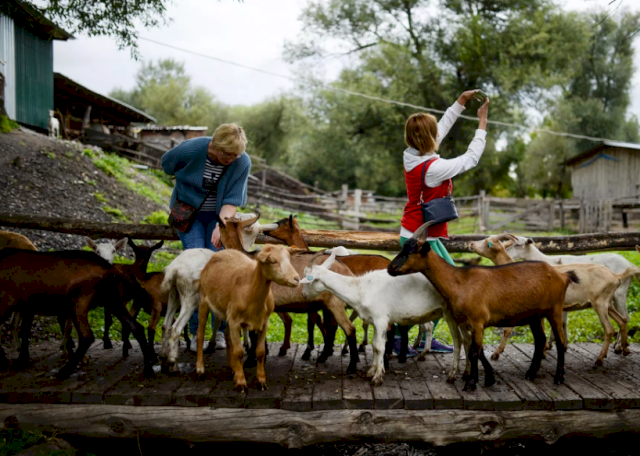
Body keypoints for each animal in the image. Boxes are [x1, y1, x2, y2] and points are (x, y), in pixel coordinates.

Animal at [196, 244, 298, 390]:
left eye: (289, 259)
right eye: (272, 261)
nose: (296, 278)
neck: (250, 292)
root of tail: (220, 252)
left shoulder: (263, 322)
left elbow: (260, 352)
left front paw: (261, 381)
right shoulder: (235, 321)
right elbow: (239, 352)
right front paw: (241, 383)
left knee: (227, 335)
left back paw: (232, 368)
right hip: (204, 301)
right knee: (200, 334)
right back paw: (200, 370)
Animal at [300, 249, 464, 384]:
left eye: (308, 279)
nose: (304, 295)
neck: (360, 289)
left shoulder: (381, 319)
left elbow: (379, 347)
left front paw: (377, 376)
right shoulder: (374, 320)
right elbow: (374, 345)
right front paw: (372, 371)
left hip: (453, 314)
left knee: (458, 342)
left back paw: (453, 375)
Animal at [388, 222, 576, 392]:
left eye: (412, 251)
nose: (390, 268)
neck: (460, 281)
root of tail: (562, 276)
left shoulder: (477, 321)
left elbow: (475, 351)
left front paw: (471, 383)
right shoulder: (466, 322)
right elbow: (475, 350)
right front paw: (486, 378)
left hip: (555, 309)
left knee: (560, 341)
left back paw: (558, 377)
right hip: (535, 315)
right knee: (540, 339)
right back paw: (531, 373)